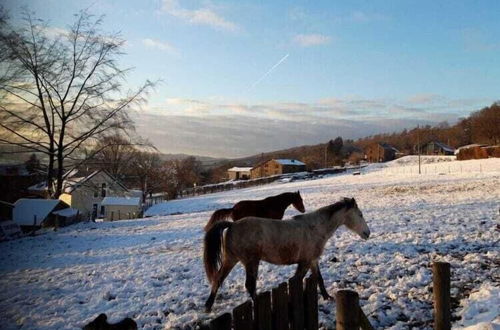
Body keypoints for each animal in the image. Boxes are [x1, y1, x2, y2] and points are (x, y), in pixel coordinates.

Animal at [203, 199, 372, 312]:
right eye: (360, 214)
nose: (367, 233)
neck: (316, 228)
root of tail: (232, 225)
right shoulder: (304, 262)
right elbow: (296, 280)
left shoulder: (312, 260)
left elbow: (319, 278)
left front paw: (327, 297)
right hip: (251, 262)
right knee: (249, 285)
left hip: (231, 260)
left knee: (218, 279)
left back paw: (208, 307)